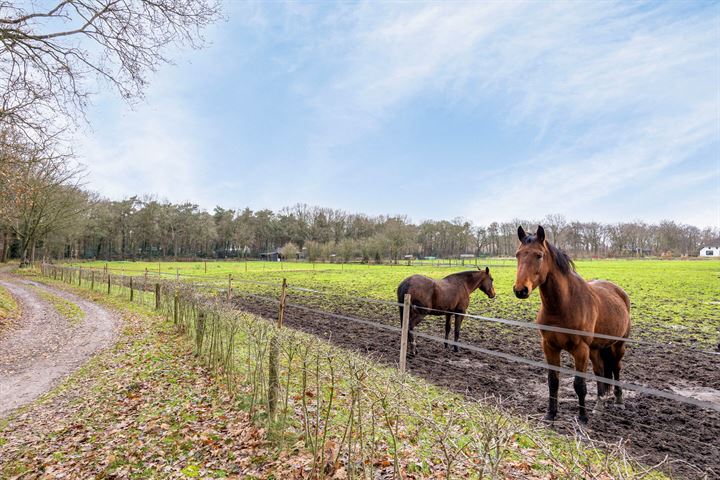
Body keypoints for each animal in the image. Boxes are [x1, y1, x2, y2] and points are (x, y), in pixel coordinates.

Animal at [512, 226, 632, 424]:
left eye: (539, 255)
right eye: (518, 254)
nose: (520, 290)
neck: (563, 305)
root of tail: (619, 291)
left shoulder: (580, 350)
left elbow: (579, 384)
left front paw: (582, 418)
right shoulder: (549, 347)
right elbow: (553, 381)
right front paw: (550, 415)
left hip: (617, 346)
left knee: (616, 368)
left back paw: (619, 401)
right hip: (596, 349)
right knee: (600, 371)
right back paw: (599, 406)